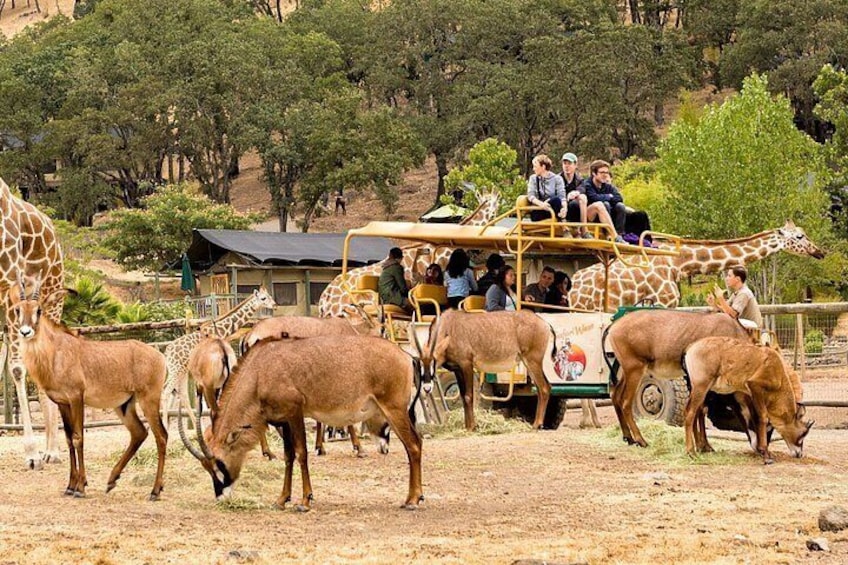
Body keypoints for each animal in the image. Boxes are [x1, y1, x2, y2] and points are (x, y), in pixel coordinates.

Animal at [163, 287, 276, 432]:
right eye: (263, 298)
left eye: (269, 296)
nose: (274, 305)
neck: (221, 330)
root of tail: (167, 352)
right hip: (176, 370)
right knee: (166, 392)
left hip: (181, 371)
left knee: (181, 395)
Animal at [568, 220, 825, 312]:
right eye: (800, 236)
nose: (819, 252)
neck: (678, 262)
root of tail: (572, 285)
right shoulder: (664, 301)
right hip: (584, 309)